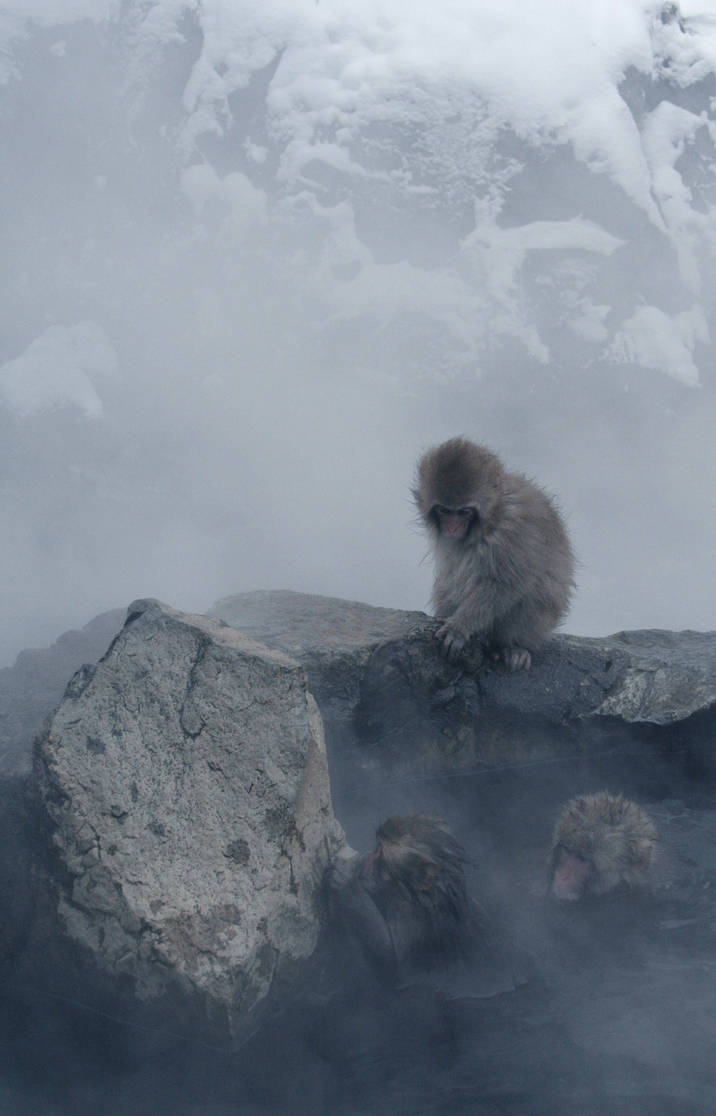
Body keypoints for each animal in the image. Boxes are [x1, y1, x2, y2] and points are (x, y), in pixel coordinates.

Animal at [413, 438, 574, 670]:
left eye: (463, 511)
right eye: (444, 510)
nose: (452, 528)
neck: (494, 514)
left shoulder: (514, 529)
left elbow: (504, 583)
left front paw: (459, 627)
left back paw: (512, 648)